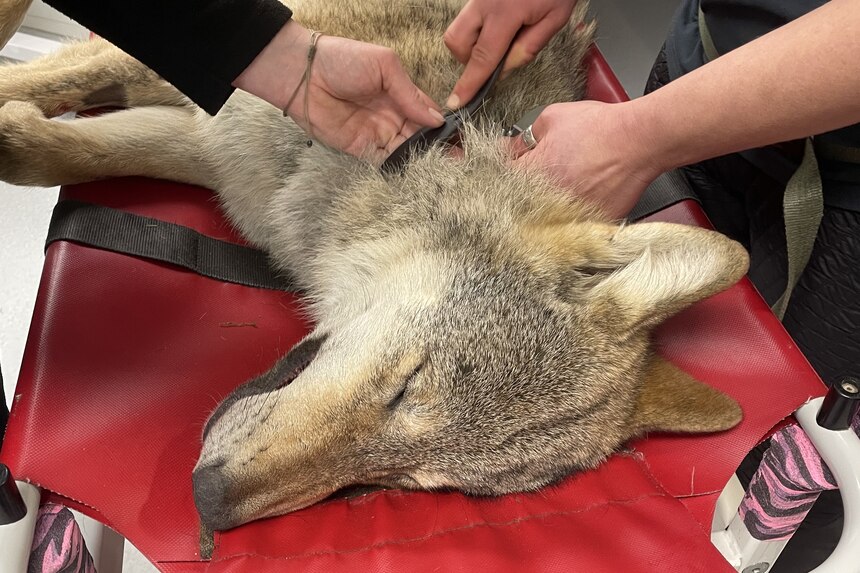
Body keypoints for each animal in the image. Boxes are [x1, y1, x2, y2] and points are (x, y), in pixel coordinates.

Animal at [0, 0, 748, 531]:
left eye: (401, 482)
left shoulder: (210, 142)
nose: (208, 499)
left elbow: (59, 151)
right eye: (407, 384)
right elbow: (51, 84)